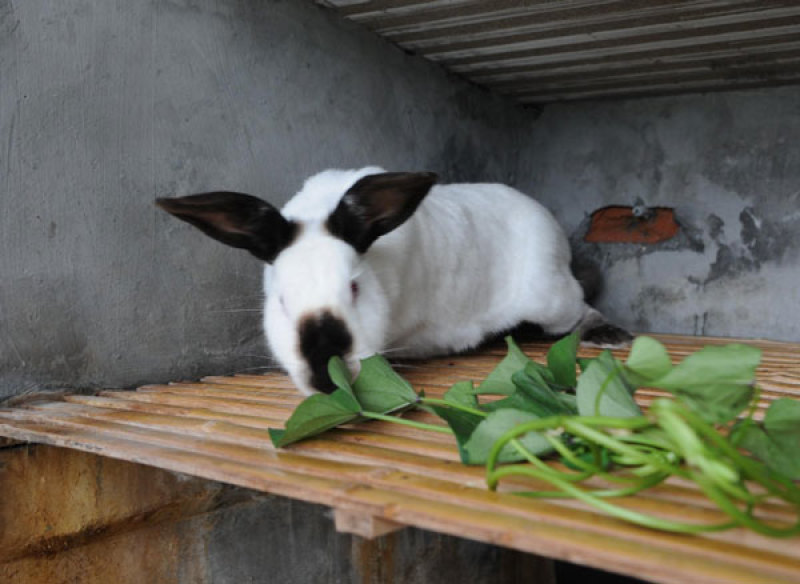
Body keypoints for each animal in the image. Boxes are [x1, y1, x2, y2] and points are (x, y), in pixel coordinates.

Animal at [156, 167, 632, 394]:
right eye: (281, 302)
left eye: (354, 288)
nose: (325, 372)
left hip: (549, 296)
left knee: (580, 308)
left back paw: (609, 334)